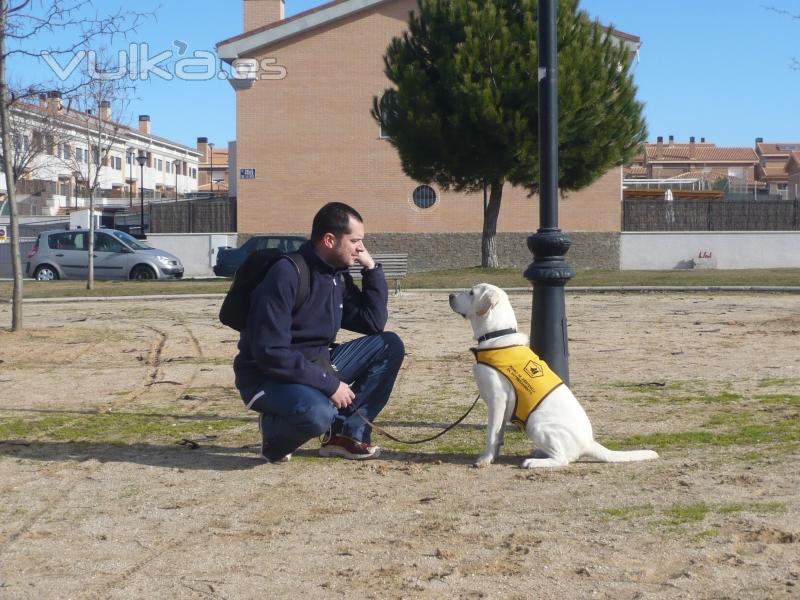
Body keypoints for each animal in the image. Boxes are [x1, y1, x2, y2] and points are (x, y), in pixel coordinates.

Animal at [450, 284, 656, 468]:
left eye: (471, 292)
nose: (450, 295)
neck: (497, 335)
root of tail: (588, 443)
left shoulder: (497, 399)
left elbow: (491, 434)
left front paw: (485, 459)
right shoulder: (500, 405)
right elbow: (498, 434)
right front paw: (493, 456)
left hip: (536, 422)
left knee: (563, 459)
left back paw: (534, 462)